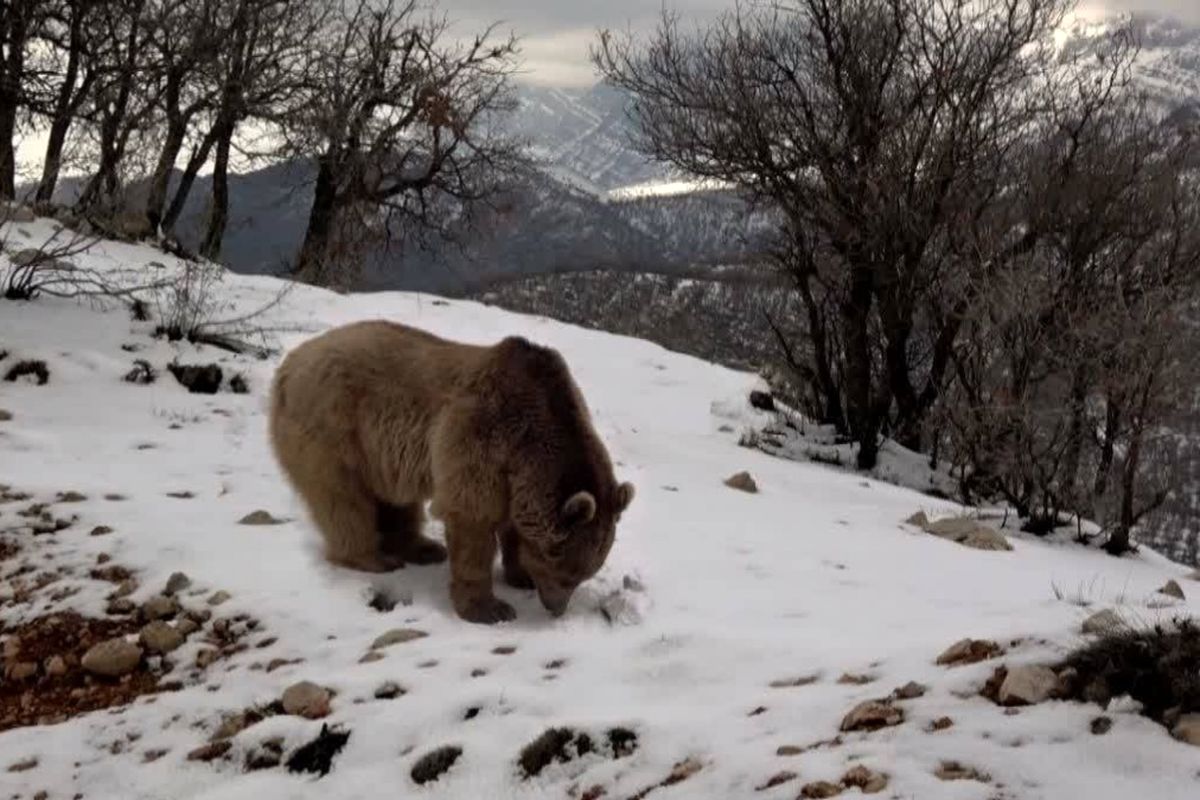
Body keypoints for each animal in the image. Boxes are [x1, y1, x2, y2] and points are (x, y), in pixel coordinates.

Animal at [268, 320, 635, 624]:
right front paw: (490, 608)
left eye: (585, 573)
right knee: (343, 499)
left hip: (381, 452)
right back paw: (373, 558)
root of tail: (289, 364)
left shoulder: (515, 472)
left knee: (396, 499)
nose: (556, 608)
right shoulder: (480, 439)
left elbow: (513, 523)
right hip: (334, 426)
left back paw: (422, 548)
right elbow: (472, 522)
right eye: (566, 573)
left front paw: (520, 574)